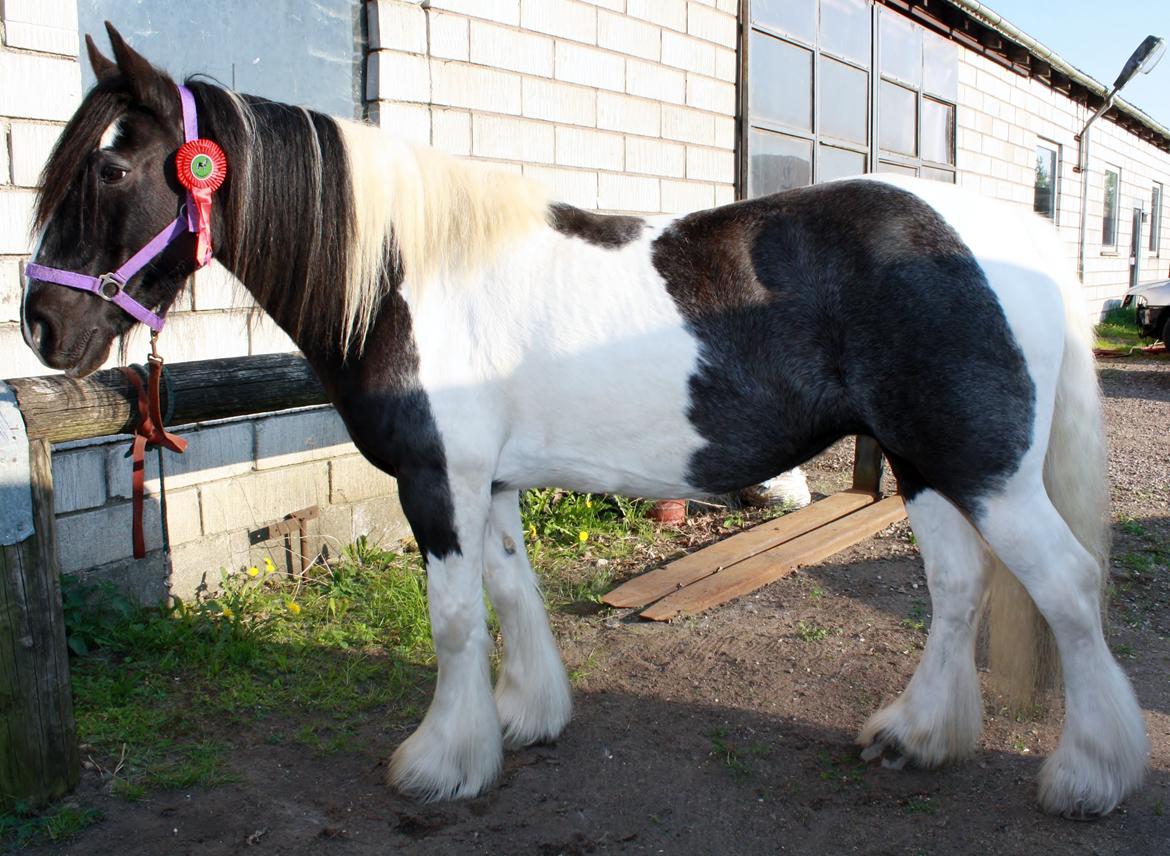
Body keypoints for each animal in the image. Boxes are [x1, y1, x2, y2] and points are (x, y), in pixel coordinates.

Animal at [22, 25, 1146, 813]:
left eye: (113, 166)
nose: (41, 324)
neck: (407, 275)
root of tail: (1010, 234)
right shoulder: (489, 481)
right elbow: (511, 593)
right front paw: (524, 721)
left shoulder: (435, 482)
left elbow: (453, 618)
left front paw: (441, 760)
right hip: (929, 461)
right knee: (957, 589)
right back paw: (916, 736)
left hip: (985, 469)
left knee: (1068, 586)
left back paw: (1092, 775)